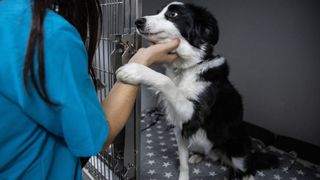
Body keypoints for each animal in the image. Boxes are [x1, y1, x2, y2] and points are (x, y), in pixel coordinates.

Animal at [117, 1, 278, 180]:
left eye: (172, 14)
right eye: (158, 12)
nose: (138, 21)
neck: (187, 67)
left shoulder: (194, 115)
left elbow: (166, 82)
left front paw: (135, 70)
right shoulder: (181, 128)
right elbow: (183, 162)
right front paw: (184, 174)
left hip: (238, 149)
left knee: (246, 166)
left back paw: (247, 175)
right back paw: (197, 156)